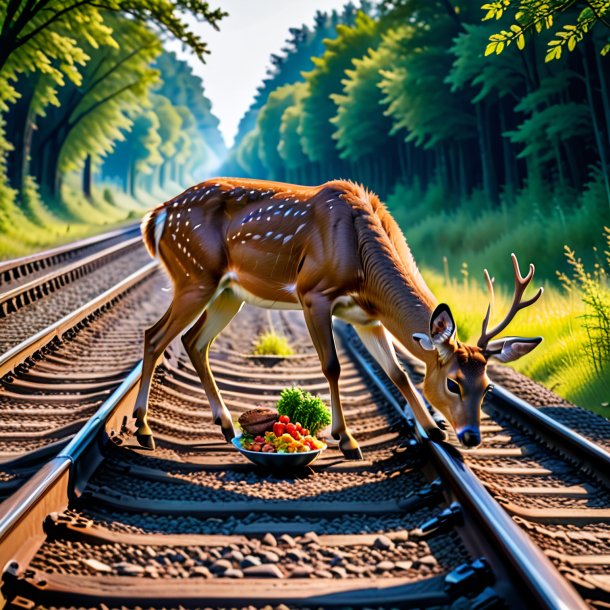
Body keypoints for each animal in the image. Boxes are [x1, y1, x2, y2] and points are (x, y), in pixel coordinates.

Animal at [134, 178, 540, 458]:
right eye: (454, 382)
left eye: (488, 387)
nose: (471, 436)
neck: (363, 266)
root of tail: (156, 216)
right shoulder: (313, 292)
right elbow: (332, 366)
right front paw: (346, 440)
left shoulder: (367, 317)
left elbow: (397, 372)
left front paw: (432, 430)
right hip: (195, 275)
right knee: (155, 335)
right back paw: (143, 430)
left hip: (229, 293)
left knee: (193, 341)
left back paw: (226, 424)